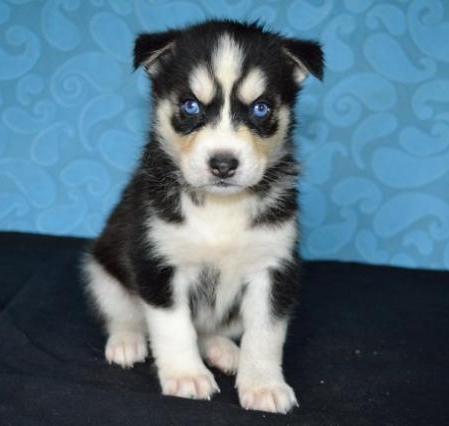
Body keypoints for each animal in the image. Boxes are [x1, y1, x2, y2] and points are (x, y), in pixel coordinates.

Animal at [84, 20, 322, 412]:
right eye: (190, 106)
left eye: (260, 108)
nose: (223, 164)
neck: (220, 207)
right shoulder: (159, 265)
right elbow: (174, 328)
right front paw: (186, 376)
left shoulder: (273, 267)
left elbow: (266, 334)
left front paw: (263, 384)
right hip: (101, 270)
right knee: (122, 313)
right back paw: (127, 341)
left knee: (211, 331)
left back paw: (225, 351)